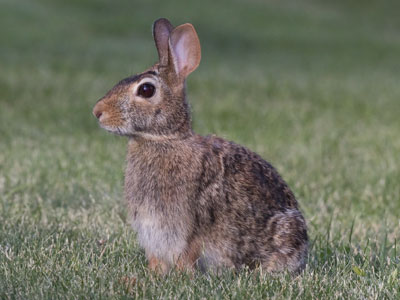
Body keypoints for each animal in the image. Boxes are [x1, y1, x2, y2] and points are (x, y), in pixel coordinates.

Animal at [92, 17, 308, 274]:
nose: (97, 112)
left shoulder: (187, 228)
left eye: (146, 89)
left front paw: (180, 275)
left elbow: (187, 254)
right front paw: (153, 274)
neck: (164, 140)